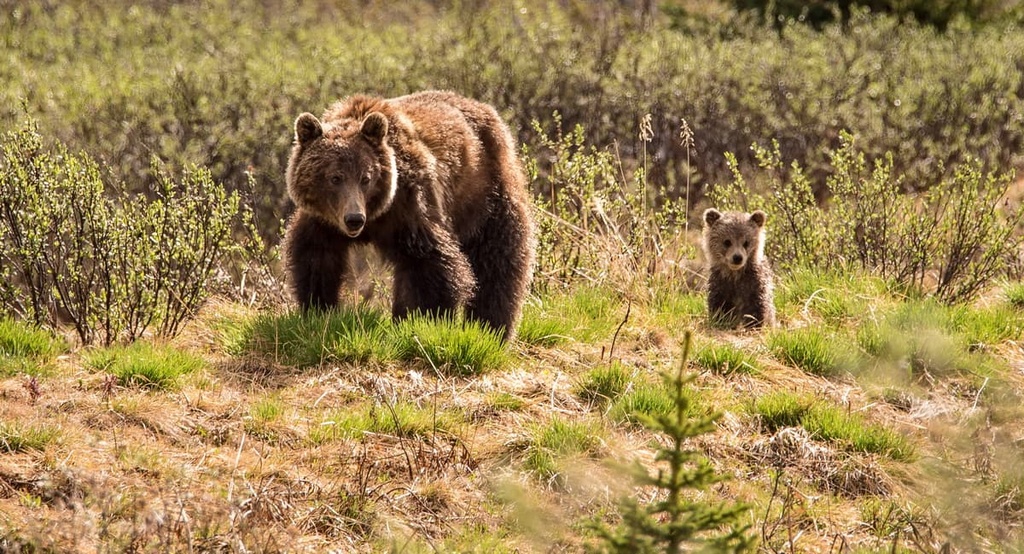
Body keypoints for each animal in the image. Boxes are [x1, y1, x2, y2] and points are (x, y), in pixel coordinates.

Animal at [282, 90, 536, 342]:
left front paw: (422, 320)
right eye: (335, 178)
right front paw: (319, 309)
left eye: (366, 177)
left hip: (484, 193)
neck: (376, 215)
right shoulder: (323, 220)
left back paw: (491, 327)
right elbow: (316, 257)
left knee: (497, 260)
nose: (354, 219)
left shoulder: (408, 208)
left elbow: (429, 266)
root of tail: (487, 110)